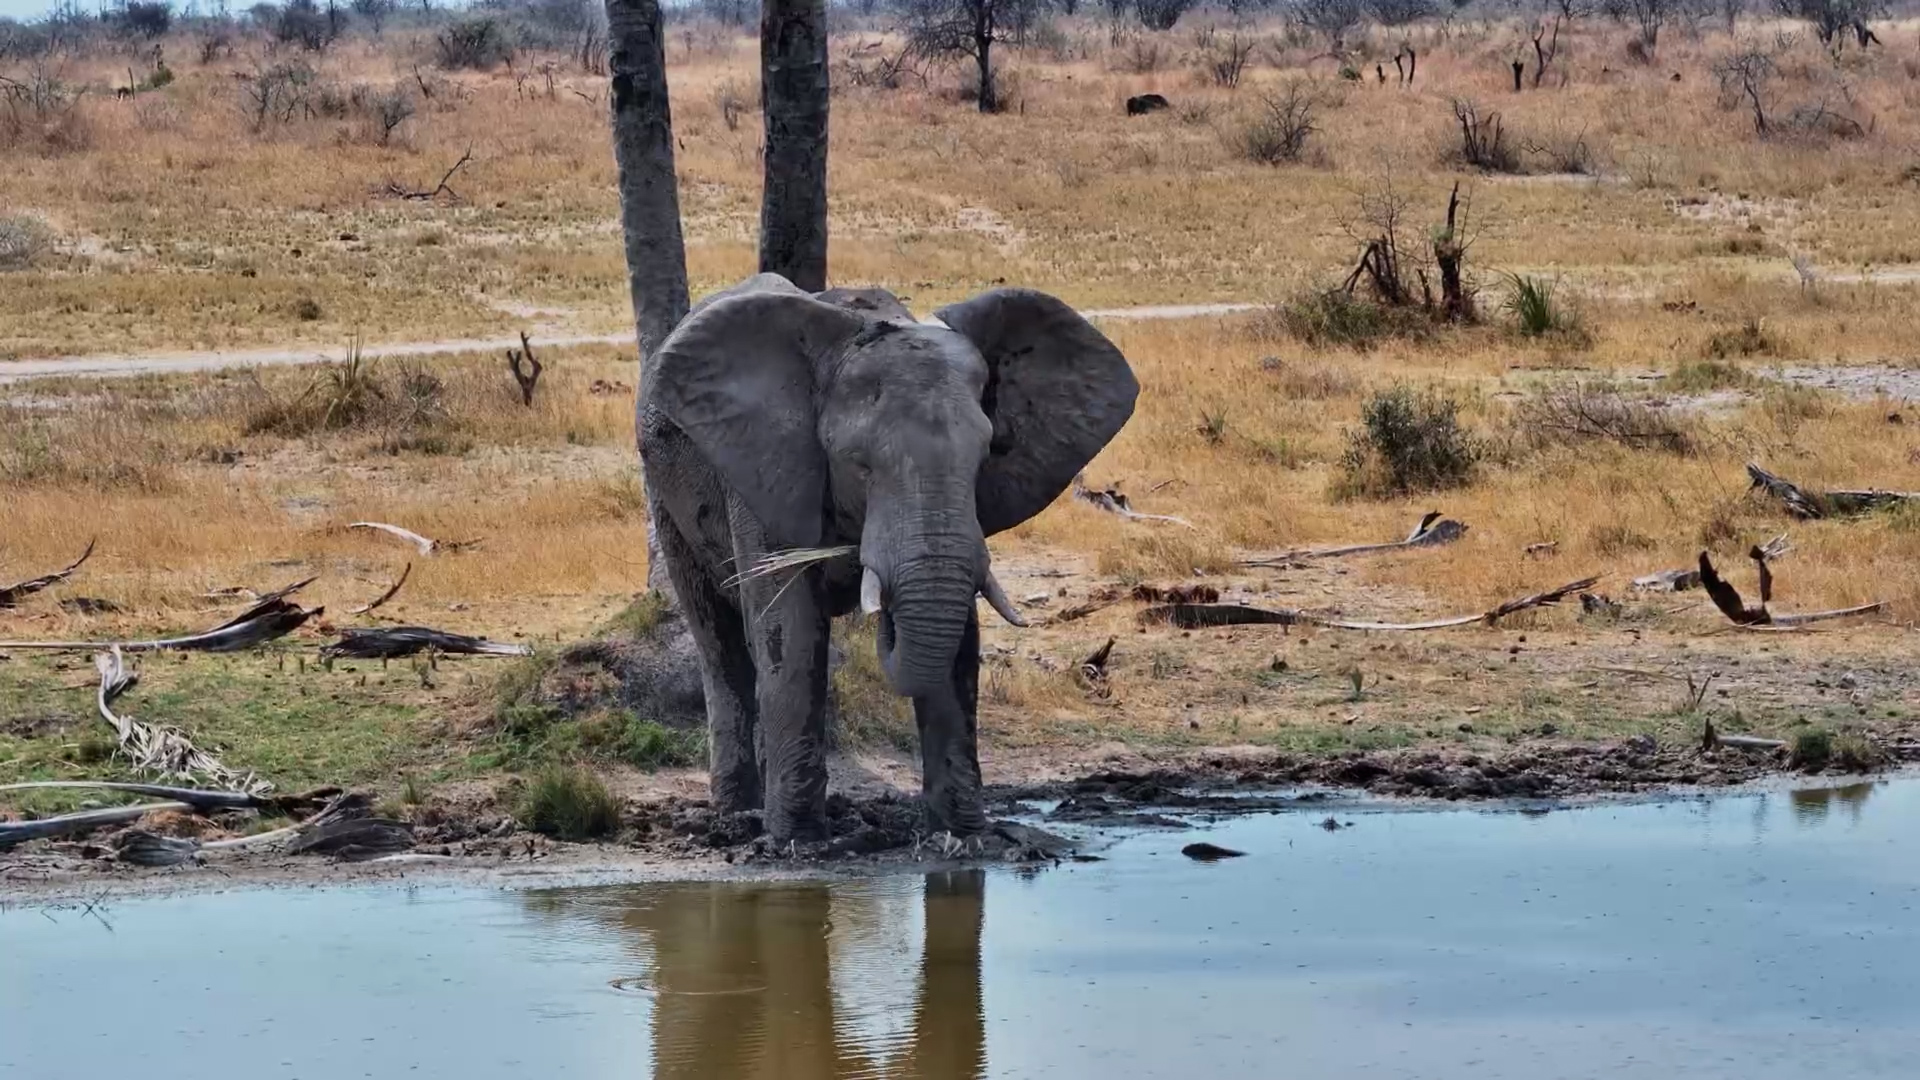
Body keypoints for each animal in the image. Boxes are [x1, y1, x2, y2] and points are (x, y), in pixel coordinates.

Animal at [640, 273, 1138, 843]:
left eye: (985, 457)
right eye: (859, 465)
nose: (884, 613)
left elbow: (957, 643)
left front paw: (965, 836)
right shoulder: (768, 468)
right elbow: (789, 627)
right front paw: (798, 842)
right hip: (665, 492)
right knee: (718, 639)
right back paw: (736, 812)